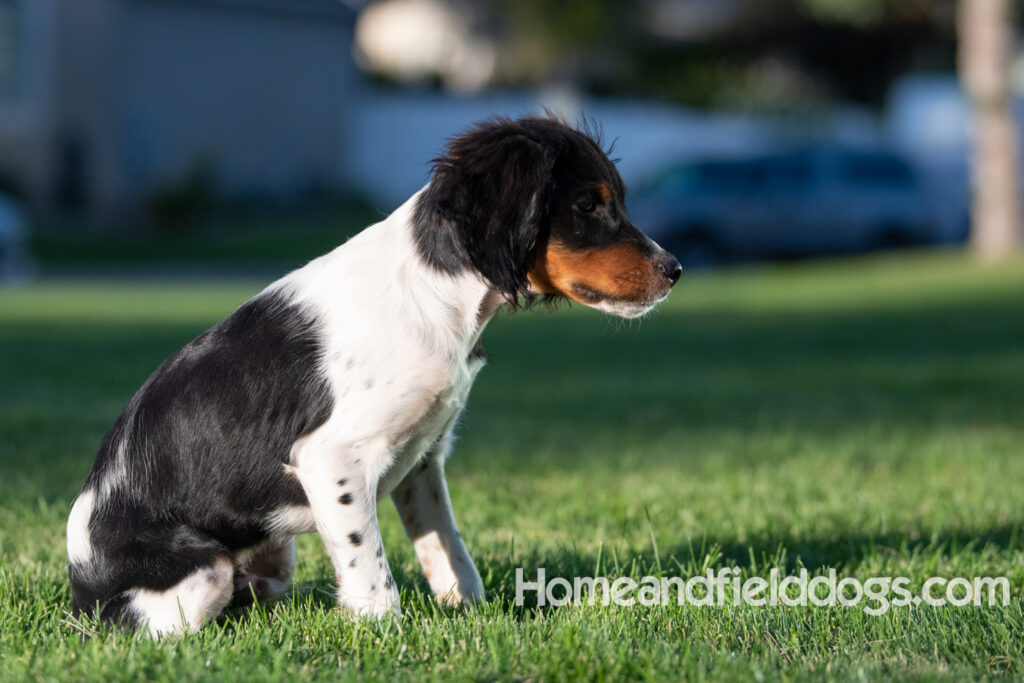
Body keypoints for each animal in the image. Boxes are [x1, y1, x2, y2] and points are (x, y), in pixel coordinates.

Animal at [68, 116, 684, 634]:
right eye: (587, 205)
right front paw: (386, 636)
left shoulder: (424, 458)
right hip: (204, 571)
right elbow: (369, 565)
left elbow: (449, 549)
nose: (676, 270)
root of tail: (78, 591)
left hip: (275, 555)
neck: (437, 294)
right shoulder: (331, 459)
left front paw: (474, 617)